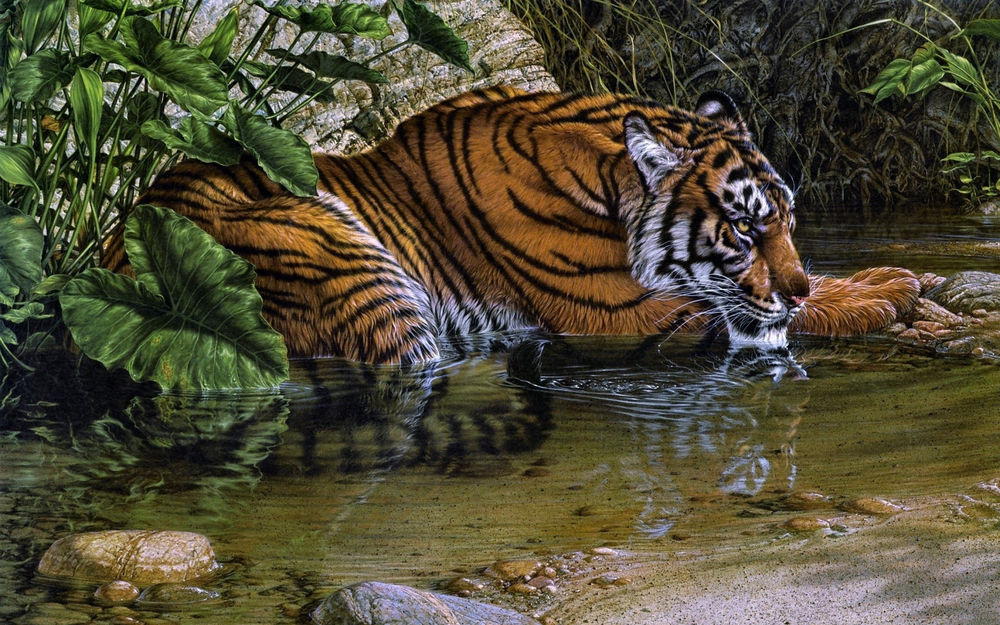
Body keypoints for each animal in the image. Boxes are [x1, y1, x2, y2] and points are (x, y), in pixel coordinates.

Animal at [104, 87, 920, 364]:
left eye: (790, 223)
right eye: (746, 232)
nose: (795, 284)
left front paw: (890, 275)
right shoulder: (625, 314)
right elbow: (769, 314)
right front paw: (886, 292)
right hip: (349, 265)